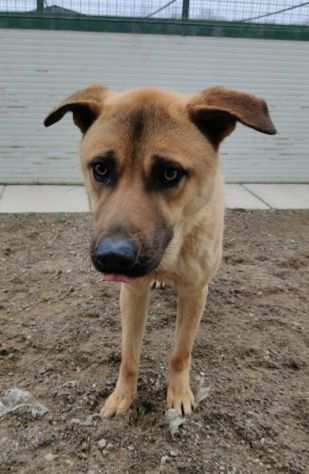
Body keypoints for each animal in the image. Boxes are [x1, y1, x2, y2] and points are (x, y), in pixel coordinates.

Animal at [44, 86, 276, 418]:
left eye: (169, 173)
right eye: (100, 169)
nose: (113, 257)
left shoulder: (194, 292)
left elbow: (180, 352)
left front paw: (178, 393)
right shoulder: (132, 293)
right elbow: (129, 355)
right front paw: (123, 396)